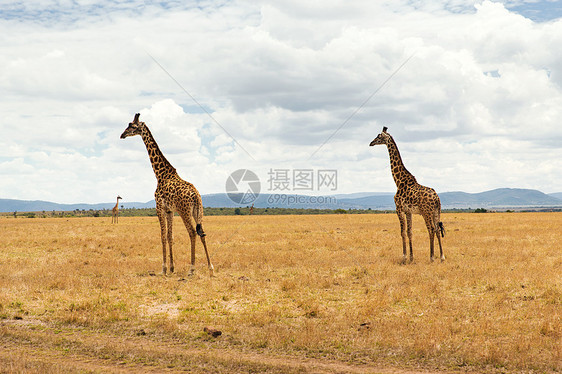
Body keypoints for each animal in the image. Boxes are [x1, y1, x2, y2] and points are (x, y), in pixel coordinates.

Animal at [119, 112, 213, 276]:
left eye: (132, 126)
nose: (122, 135)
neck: (160, 174)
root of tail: (195, 195)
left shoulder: (160, 208)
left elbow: (162, 236)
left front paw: (163, 268)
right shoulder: (170, 210)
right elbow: (170, 236)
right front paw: (172, 267)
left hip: (184, 211)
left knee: (192, 233)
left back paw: (192, 269)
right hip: (198, 211)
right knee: (202, 233)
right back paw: (210, 268)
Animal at [370, 126, 444, 262]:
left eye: (379, 136)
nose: (371, 143)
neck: (398, 181)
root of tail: (437, 198)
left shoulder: (398, 209)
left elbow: (402, 232)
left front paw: (404, 257)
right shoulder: (408, 211)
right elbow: (409, 232)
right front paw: (411, 257)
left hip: (426, 212)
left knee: (431, 229)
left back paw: (431, 257)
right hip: (436, 211)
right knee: (437, 229)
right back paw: (442, 256)